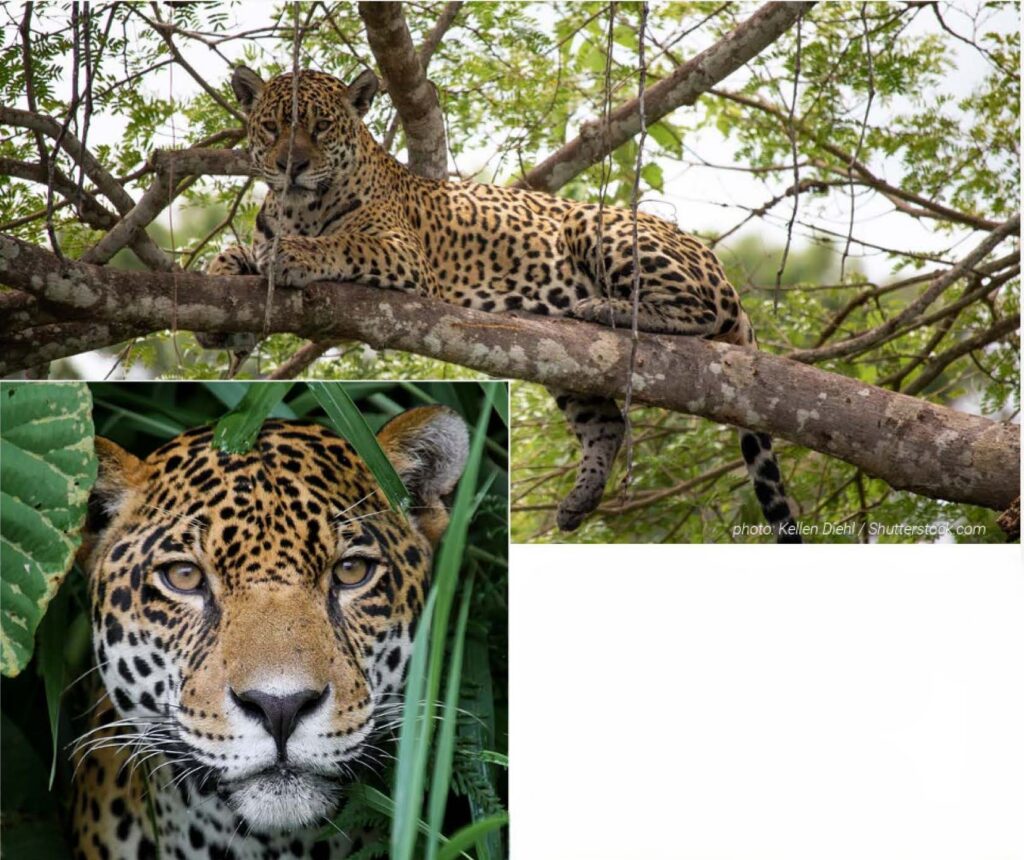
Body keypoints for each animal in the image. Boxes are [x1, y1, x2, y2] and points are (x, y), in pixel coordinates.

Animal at [203, 65, 800, 543]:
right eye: (272, 127)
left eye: (321, 127)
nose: (291, 164)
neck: (296, 207)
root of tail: (713, 258)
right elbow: (234, 254)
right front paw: (223, 300)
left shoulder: (400, 253)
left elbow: (340, 244)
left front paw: (295, 255)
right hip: (569, 366)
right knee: (609, 425)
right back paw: (580, 499)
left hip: (598, 226)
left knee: (698, 313)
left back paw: (605, 308)